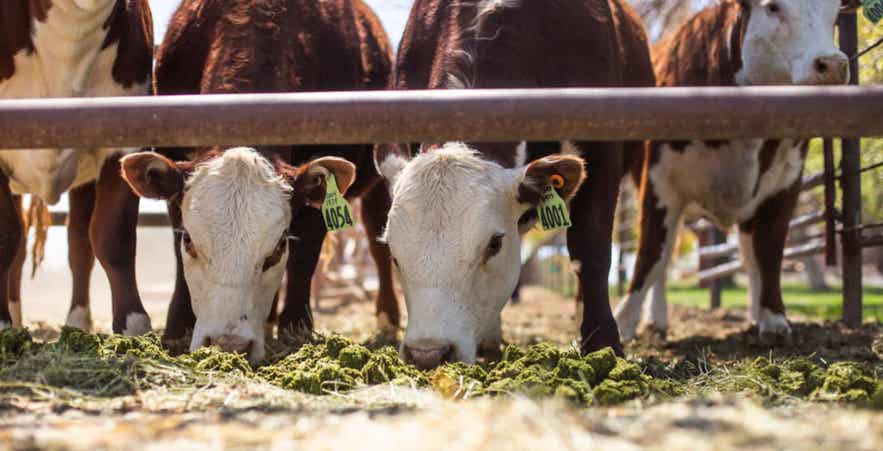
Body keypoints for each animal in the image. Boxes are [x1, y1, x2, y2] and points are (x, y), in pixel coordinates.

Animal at [0, 0, 154, 334]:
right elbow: (5, 235)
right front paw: (2, 322)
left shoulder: (125, 143)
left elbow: (113, 235)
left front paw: (133, 323)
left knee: (79, 240)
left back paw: (78, 321)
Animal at [121, 0, 398, 363]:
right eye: (191, 242)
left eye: (277, 249)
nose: (229, 345)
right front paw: (177, 328)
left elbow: (305, 255)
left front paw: (296, 326)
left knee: (378, 240)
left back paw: (388, 318)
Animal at [374, 0, 656, 368]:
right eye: (393, 252)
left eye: (494, 244)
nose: (428, 353)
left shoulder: (602, 148)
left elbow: (590, 250)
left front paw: (602, 342)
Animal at [613, 0, 860, 344]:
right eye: (772, 7)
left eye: (836, 14)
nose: (834, 65)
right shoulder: (659, 184)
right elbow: (650, 255)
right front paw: (623, 323)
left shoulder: (785, 186)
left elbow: (769, 254)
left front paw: (773, 318)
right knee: (663, 257)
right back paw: (657, 318)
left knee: (749, 257)